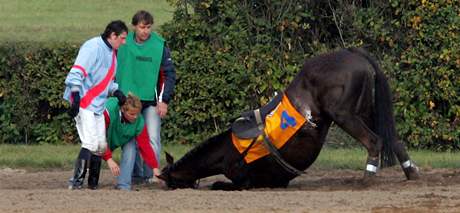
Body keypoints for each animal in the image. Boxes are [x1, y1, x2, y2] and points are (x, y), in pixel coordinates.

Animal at [158, 47, 420, 190]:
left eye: (170, 181)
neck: (228, 149)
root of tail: (351, 53)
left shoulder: (245, 181)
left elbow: (219, 184)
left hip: (345, 115)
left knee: (374, 141)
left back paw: (367, 179)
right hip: (366, 111)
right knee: (394, 140)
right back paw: (411, 173)